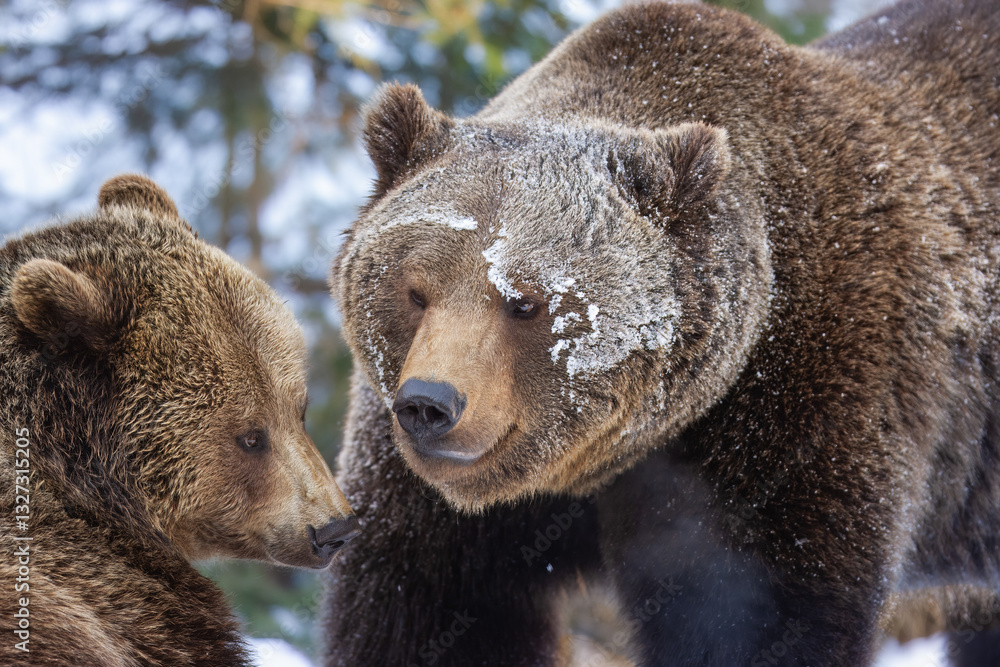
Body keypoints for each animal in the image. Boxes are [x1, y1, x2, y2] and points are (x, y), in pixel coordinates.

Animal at [322, 0, 1000, 665]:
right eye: (416, 291)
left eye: (525, 303)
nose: (430, 405)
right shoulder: (429, 503)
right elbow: (419, 609)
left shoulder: (800, 407)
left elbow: (754, 615)